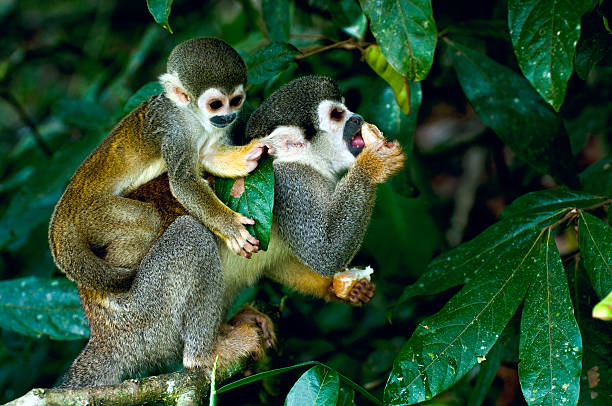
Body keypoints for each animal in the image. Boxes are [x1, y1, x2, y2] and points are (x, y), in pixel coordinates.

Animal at [48, 37, 266, 292]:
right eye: (215, 104)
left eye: (236, 101)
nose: (228, 117)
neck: (192, 116)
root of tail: (64, 210)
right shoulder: (174, 130)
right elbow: (183, 181)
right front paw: (229, 226)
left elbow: (206, 156)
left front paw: (246, 156)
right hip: (92, 214)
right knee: (148, 219)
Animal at [58, 75, 406, 386]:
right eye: (336, 115)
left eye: (346, 108)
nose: (358, 118)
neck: (308, 162)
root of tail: (104, 334)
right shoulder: (291, 186)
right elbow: (323, 252)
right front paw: (373, 163)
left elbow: (282, 261)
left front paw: (339, 287)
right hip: (144, 319)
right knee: (190, 235)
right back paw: (204, 355)